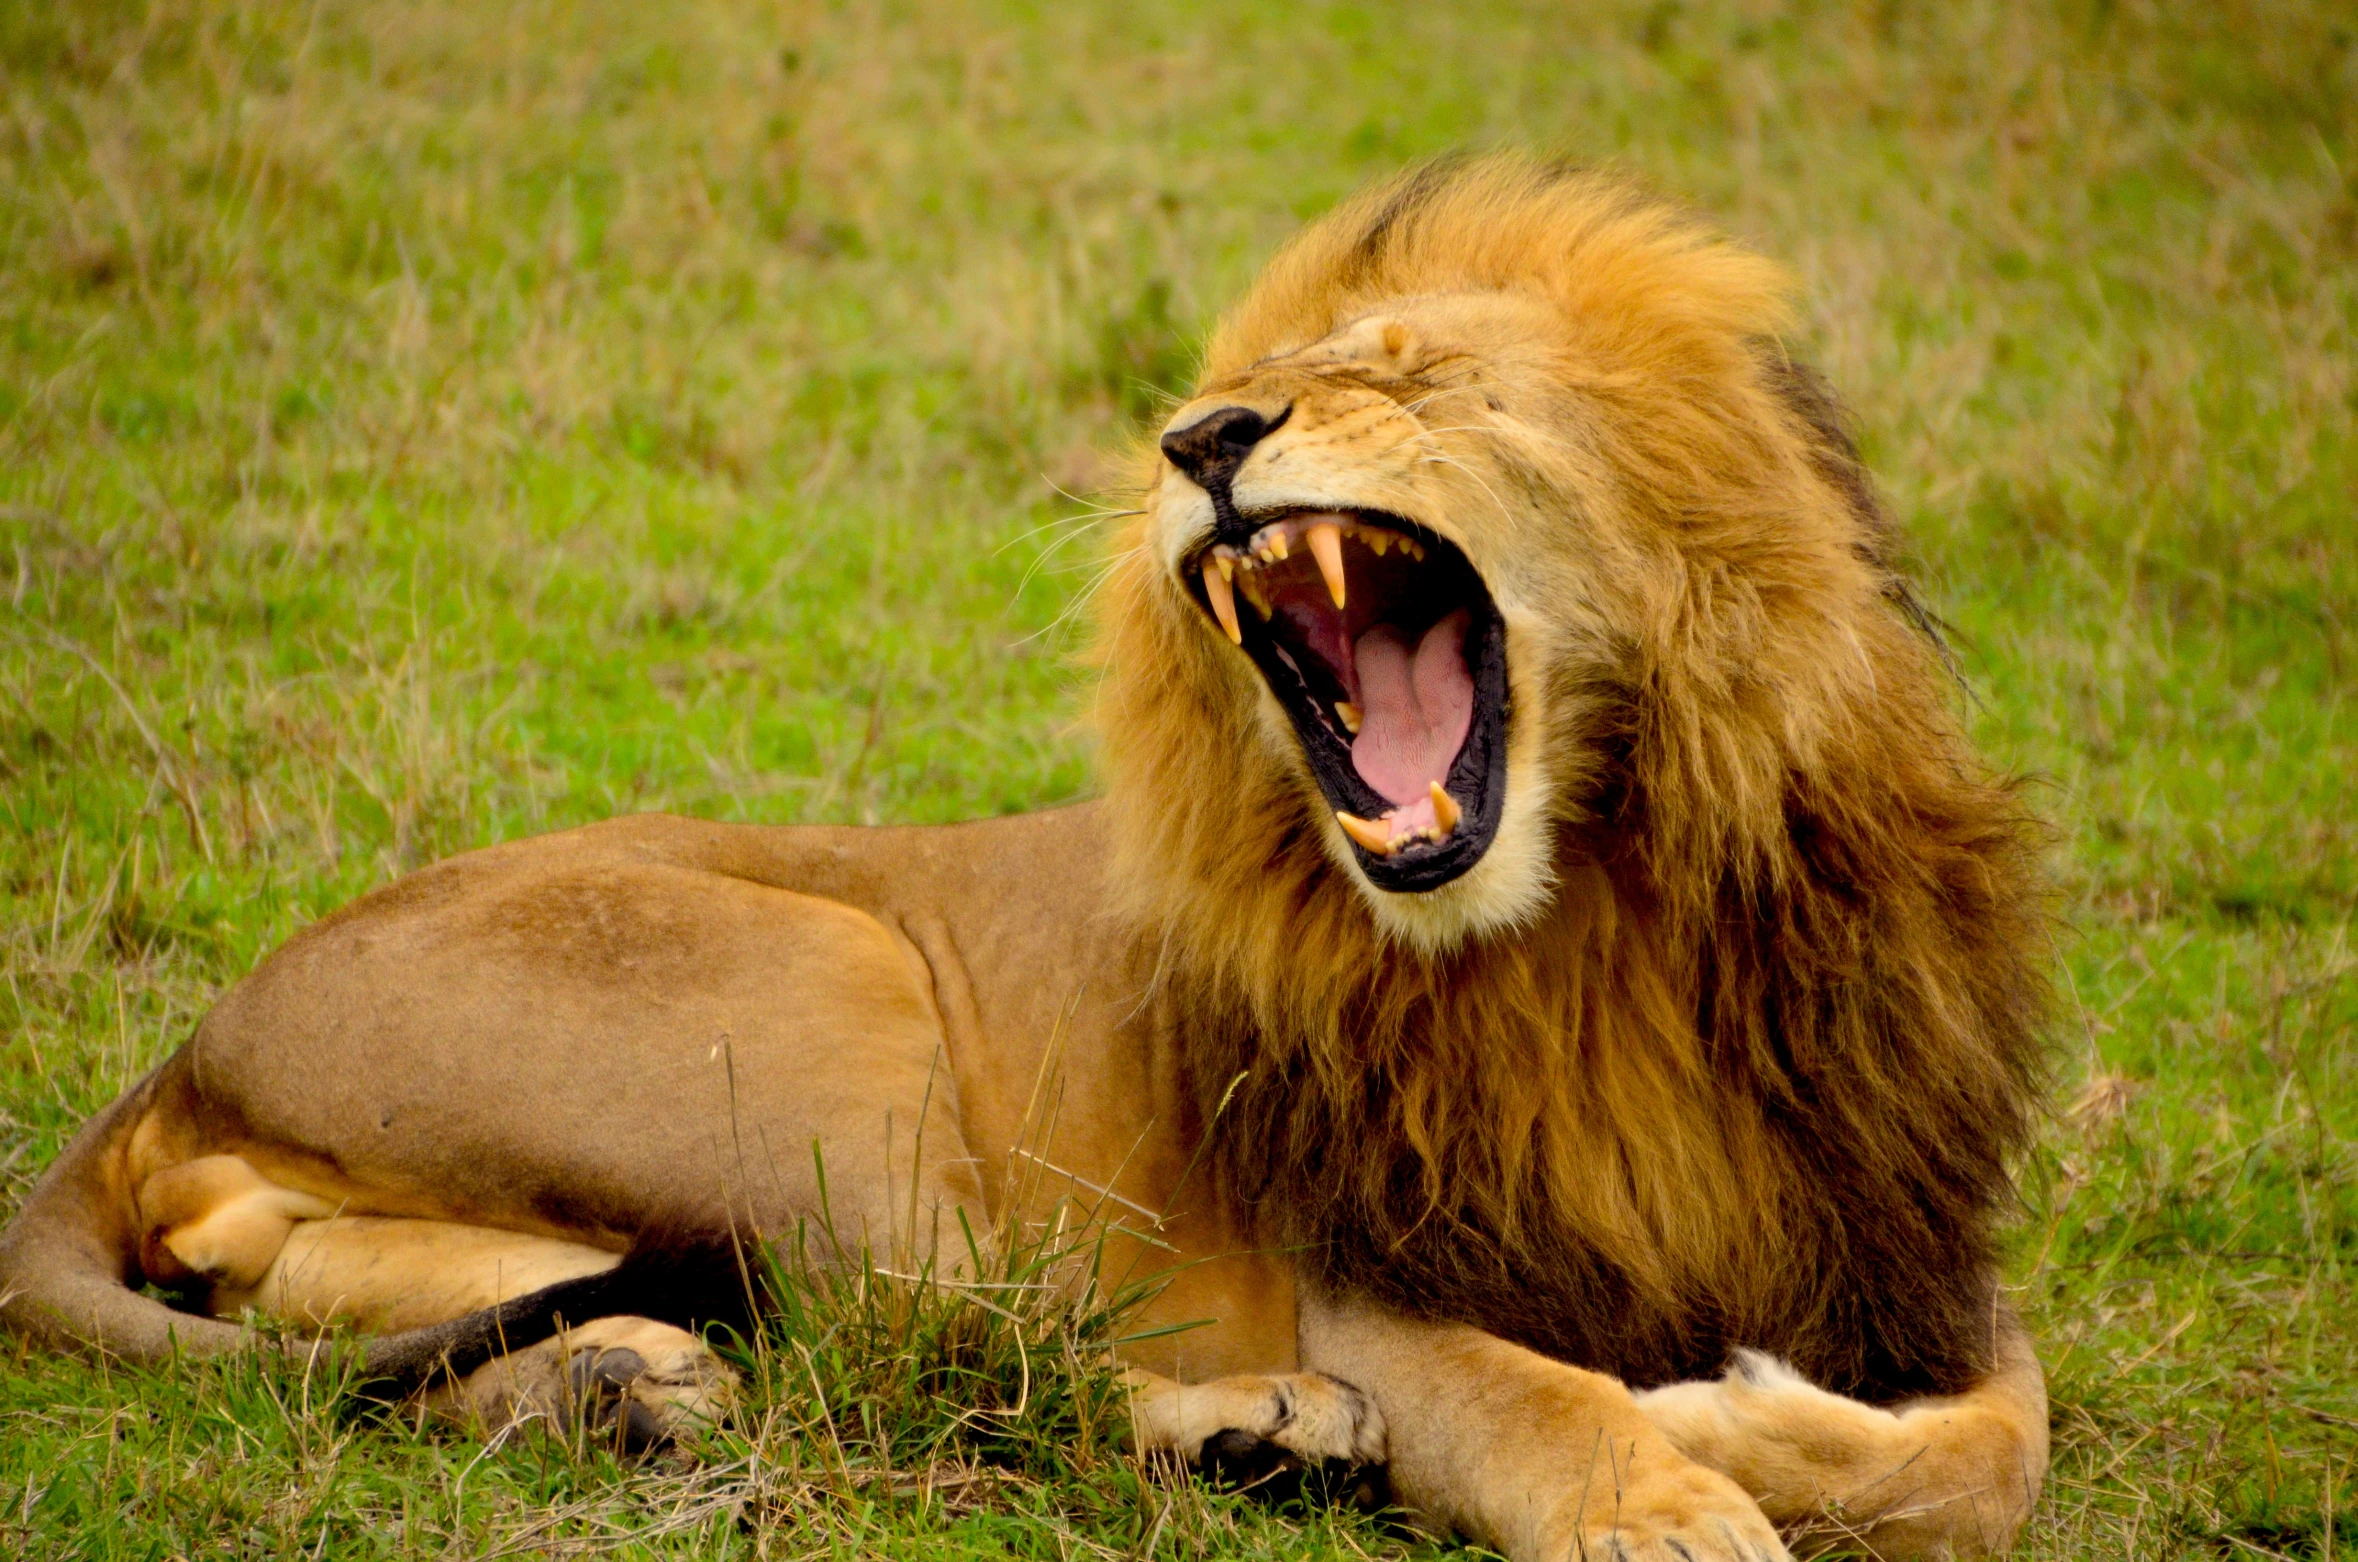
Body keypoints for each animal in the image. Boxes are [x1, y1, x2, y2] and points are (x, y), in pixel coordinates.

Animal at [0, 161, 2056, 1562]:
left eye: (1414, 373)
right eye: (1251, 380)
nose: (1201, 436)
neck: (1601, 917)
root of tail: (196, 1032)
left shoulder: (1903, 1241)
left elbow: (1993, 1449)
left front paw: (1737, 1416)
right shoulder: (1370, 1275)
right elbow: (1537, 1396)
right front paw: (1669, 1484)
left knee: (314, 1283)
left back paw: (622, 1384)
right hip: (827, 1000)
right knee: (940, 1345)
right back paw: (1253, 1430)